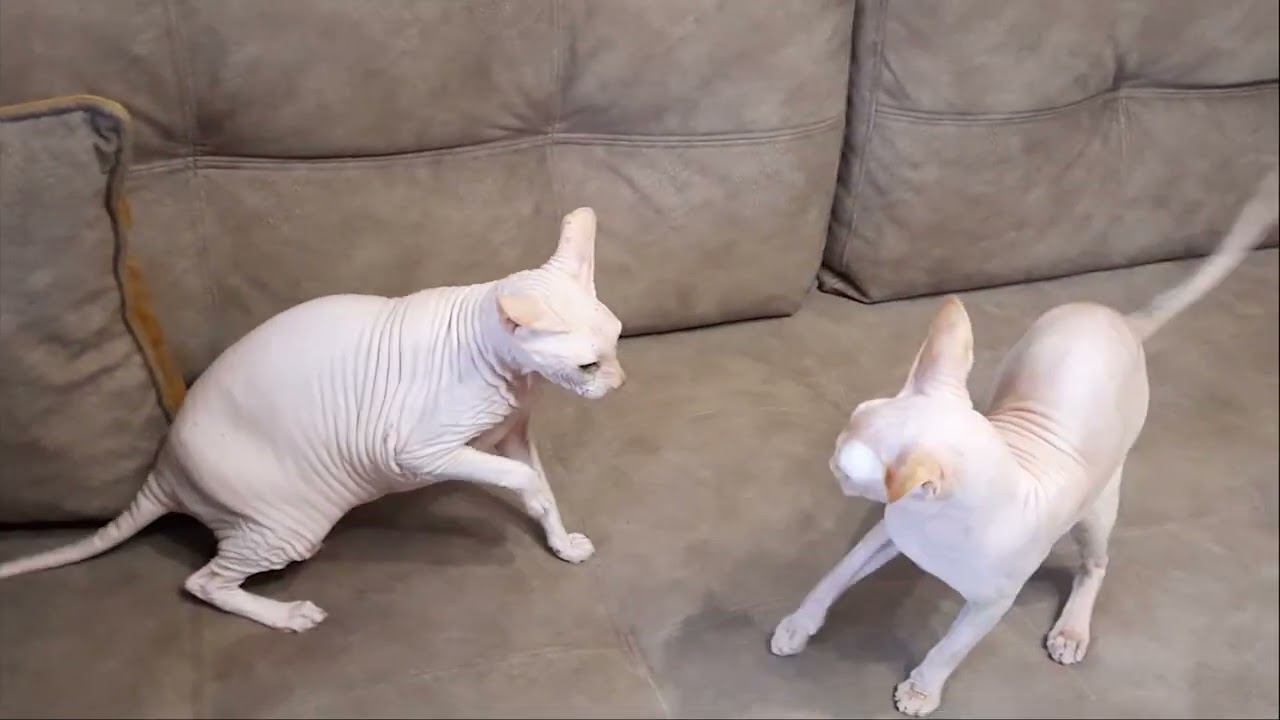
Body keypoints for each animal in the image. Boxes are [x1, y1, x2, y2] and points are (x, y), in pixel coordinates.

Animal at [0, 207, 625, 633]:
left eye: (617, 341)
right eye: (587, 365)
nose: (618, 384)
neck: (507, 372)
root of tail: (164, 469)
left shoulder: (512, 433)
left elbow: (538, 485)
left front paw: (560, 541)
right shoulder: (419, 451)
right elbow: (520, 479)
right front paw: (533, 503)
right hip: (288, 525)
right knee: (202, 581)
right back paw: (287, 615)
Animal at [771, 171, 1278, 716]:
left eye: (847, 466)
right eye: (851, 421)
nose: (831, 453)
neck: (937, 528)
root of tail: (1117, 319)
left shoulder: (992, 603)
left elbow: (951, 647)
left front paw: (922, 689)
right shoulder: (886, 534)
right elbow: (834, 576)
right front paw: (798, 625)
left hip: (1098, 508)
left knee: (1096, 564)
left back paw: (1072, 631)